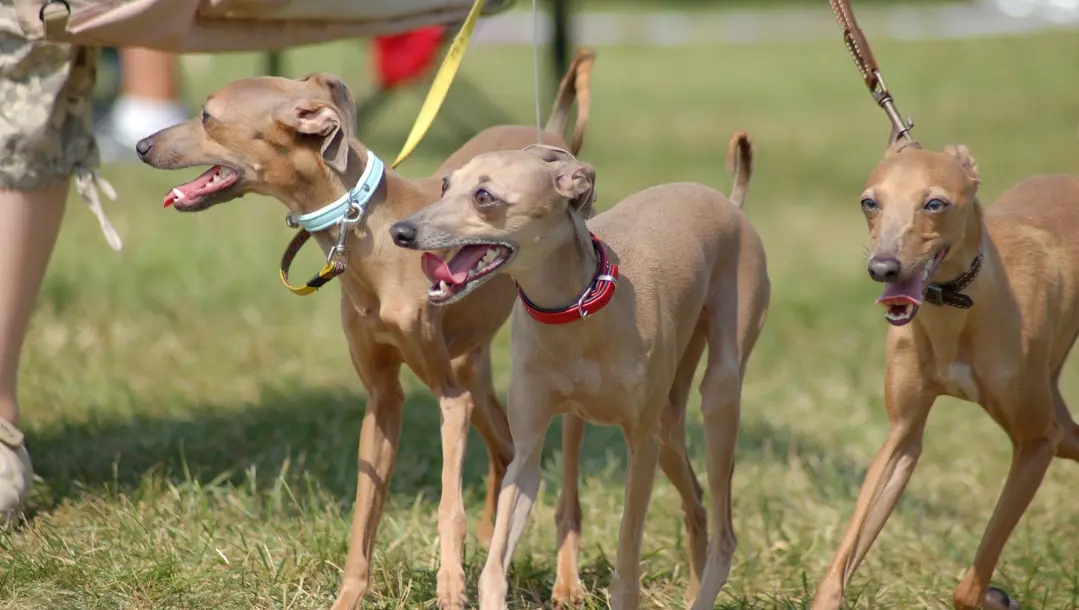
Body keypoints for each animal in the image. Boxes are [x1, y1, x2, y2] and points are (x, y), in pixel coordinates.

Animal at [135, 48, 599, 608]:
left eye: (207, 116)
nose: (140, 145)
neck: (371, 234)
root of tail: (549, 135)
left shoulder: (449, 399)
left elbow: (449, 508)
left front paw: (450, 588)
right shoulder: (382, 400)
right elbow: (363, 516)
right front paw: (349, 598)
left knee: (563, 485)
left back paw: (567, 583)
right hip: (476, 368)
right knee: (506, 448)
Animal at [388, 130, 768, 604]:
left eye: (484, 196)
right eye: (444, 185)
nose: (400, 232)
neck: (575, 308)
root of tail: (730, 204)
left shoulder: (639, 446)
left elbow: (626, 565)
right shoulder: (527, 452)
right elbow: (493, 566)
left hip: (717, 398)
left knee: (725, 532)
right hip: (664, 427)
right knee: (695, 502)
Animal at [811, 138, 1079, 608]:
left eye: (934, 203)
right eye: (869, 202)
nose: (883, 269)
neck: (960, 309)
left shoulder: (1036, 442)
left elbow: (968, 584)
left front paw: (992, 595)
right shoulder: (902, 437)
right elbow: (842, 561)